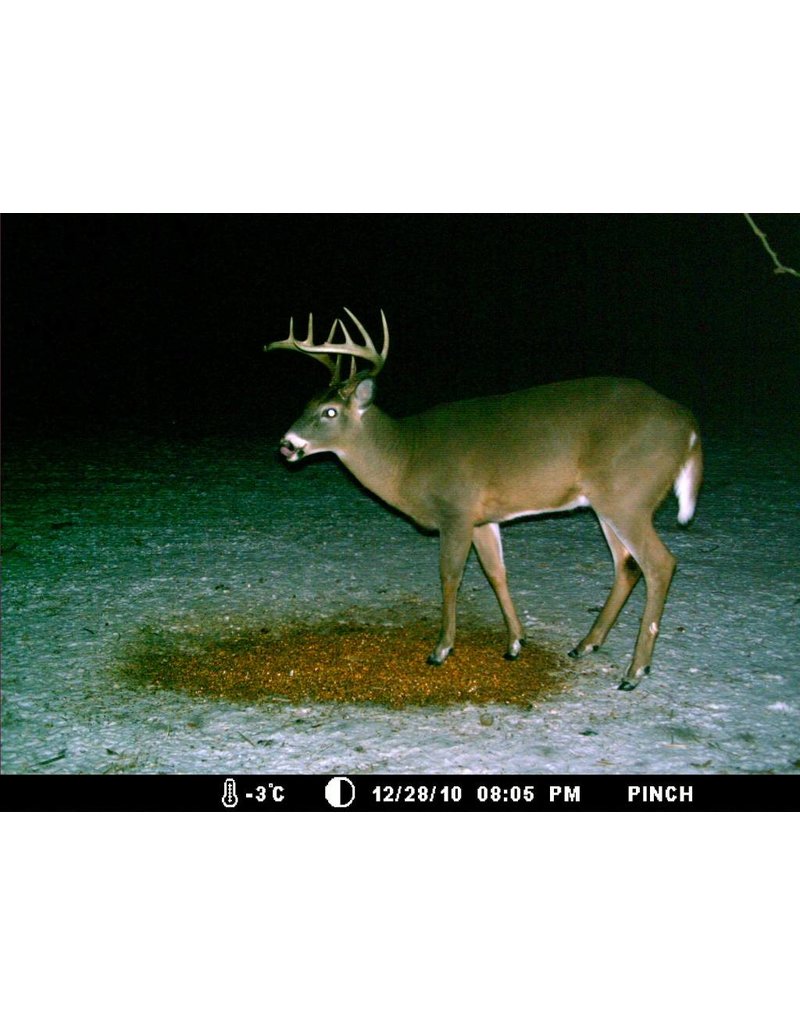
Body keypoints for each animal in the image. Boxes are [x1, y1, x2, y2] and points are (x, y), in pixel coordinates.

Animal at [266, 309, 703, 690]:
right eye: (307, 404)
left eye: (330, 412)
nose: (286, 444)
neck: (408, 458)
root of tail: (690, 427)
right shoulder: (483, 517)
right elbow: (497, 573)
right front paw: (515, 643)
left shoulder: (455, 509)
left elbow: (450, 576)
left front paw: (441, 650)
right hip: (607, 501)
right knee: (627, 566)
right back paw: (586, 645)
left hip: (627, 495)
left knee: (660, 564)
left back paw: (635, 671)